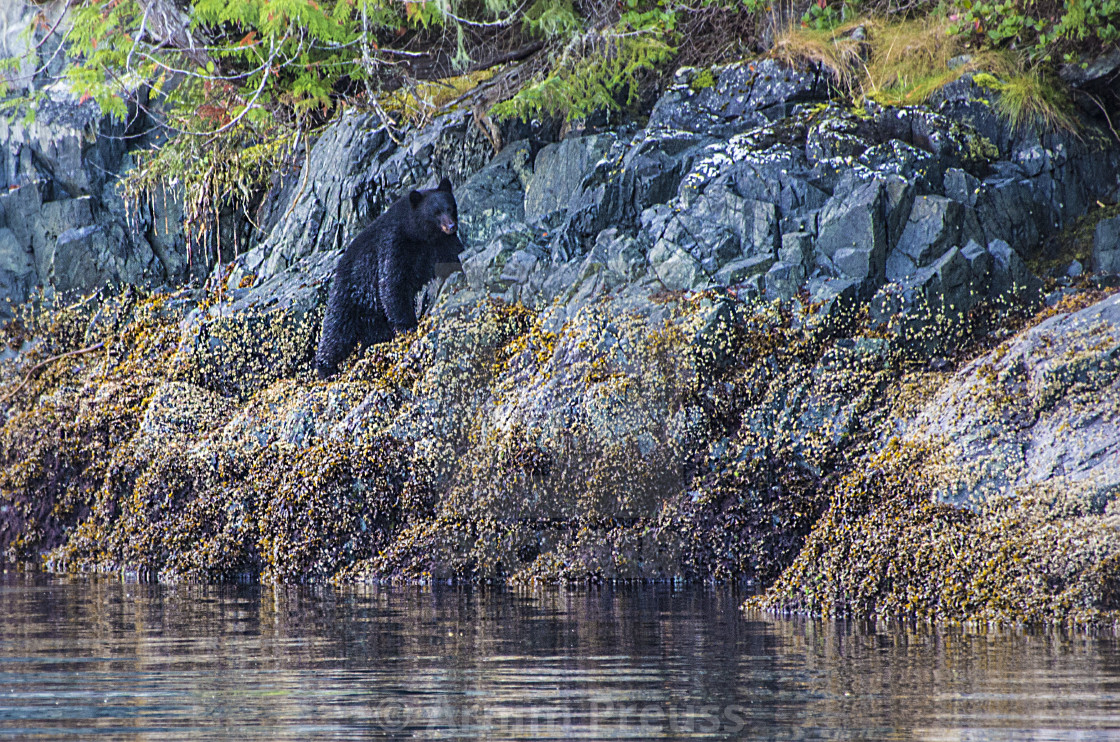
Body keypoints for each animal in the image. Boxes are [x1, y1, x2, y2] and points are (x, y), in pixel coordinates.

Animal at [313, 178, 461, 381]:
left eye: (450, 207)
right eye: (436, 212)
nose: (451, 226)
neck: (419, 234)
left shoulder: (442, 244)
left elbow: (454, 257)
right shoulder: (393, 245)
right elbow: (392, 284)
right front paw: (407, 326)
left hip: (370, 310)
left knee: (373, 330)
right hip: (350, 293)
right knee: (337, 330)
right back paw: (326, 368)